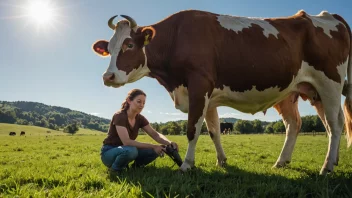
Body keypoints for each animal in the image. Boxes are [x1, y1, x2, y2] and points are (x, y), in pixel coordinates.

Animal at [93, 10, 352, 176]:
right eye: (109, 49)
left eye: (129, 45)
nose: (108, 77)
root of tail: (329, 15)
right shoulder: (210, 98)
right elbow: (214, 131)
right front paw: (222, 161)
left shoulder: (199, 84)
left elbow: (192, 130)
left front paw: (187, 165)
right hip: (302, 91)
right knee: (299, 124)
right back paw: (286, 162)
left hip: (330, 83)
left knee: (335, 125)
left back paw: (327, 167)